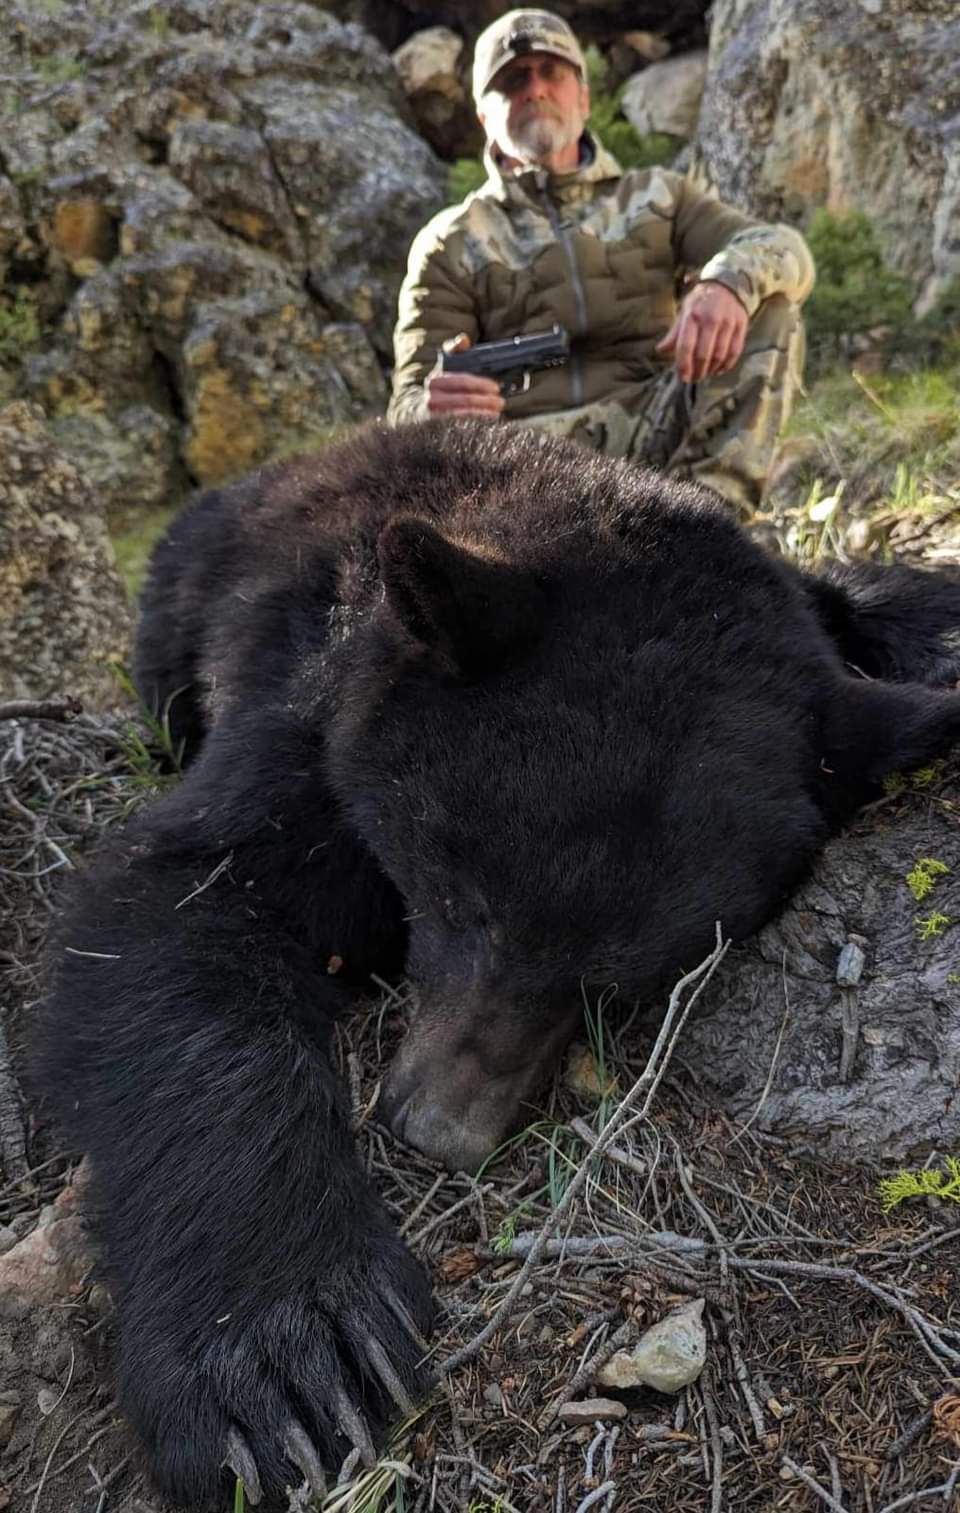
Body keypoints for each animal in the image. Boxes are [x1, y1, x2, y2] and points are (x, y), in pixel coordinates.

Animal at [30, 417, 960, 1513]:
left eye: (617, 983)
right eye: (460, 898)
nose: (438, 1130)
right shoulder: (316, 712)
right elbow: (175, 901)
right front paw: (286, 1355)